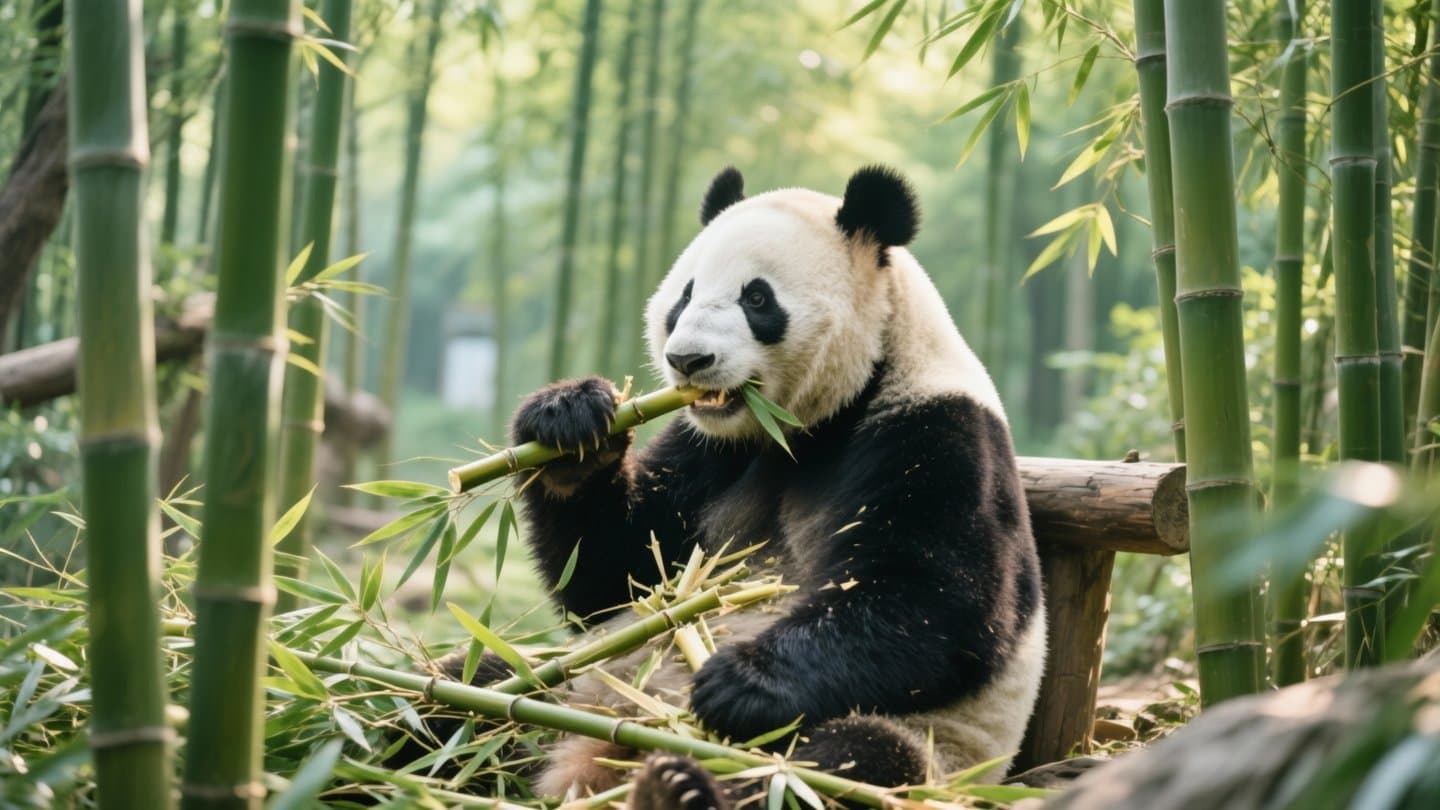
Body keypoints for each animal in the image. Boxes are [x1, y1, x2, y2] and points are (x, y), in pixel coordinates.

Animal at [442, 166, 1045, 809]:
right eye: (684, 295)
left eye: (757, 298)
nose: (687, 359)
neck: (816, 421)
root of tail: (593, 756)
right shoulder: (711, 449)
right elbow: (619, 577)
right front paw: (570, 423)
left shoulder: (935, 429)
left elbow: (939, 598)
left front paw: (739, 680)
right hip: (566, 683)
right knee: (465, 691)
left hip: (926, 749)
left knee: (843, 760)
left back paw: (679, 785)